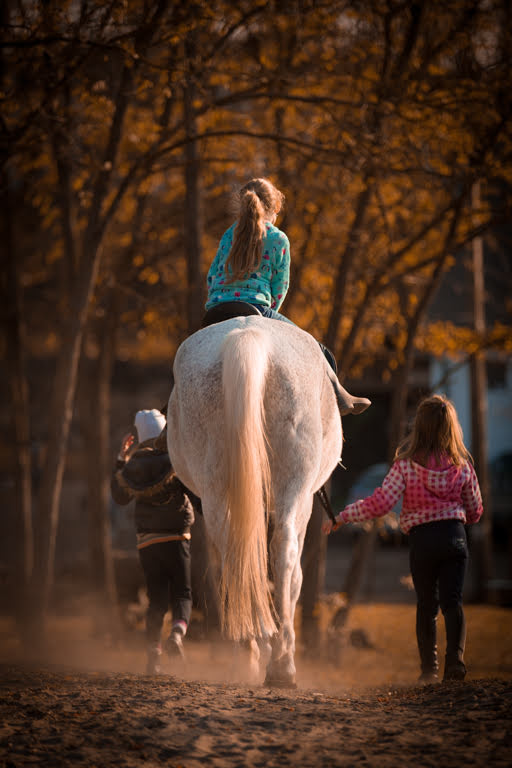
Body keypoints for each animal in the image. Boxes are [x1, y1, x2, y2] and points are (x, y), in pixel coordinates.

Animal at [166, 316, 370, 688]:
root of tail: (250, 338)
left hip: (220, 490)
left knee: (238, 557)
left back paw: (258, 656)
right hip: (292, 491)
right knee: (282, 553)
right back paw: (276, 663)